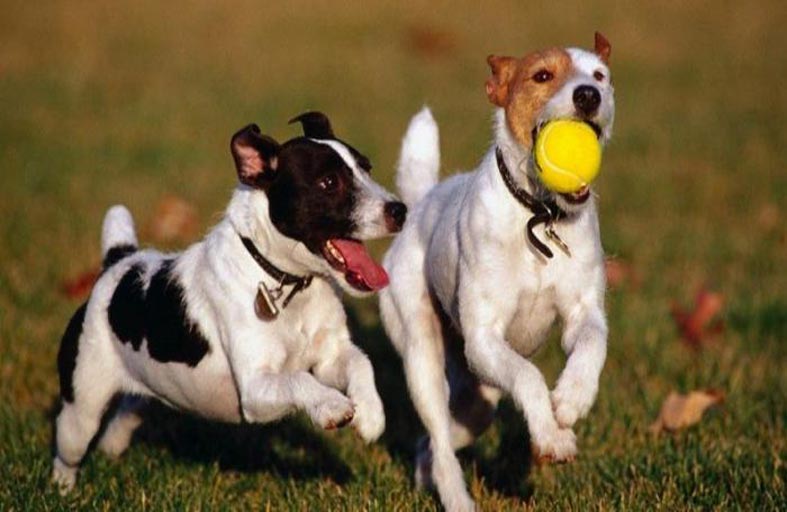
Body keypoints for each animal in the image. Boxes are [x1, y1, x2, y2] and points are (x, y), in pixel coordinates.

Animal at [52, 112, 407, 492]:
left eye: (366, 168)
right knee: (69, 448)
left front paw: (371, 414)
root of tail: (118, 262)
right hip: (82, 407)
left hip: (146, 387)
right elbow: (299, 380)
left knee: (127, 411)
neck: (287, 282)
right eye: (329, 182)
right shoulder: (256, 389)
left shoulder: (329, 358)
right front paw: (331, 406)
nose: (400, 210)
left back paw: (111, 448)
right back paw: (63, 488)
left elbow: (361, 363)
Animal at [379, 33, 614, 511]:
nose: (588, 95)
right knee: (439, 439)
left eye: (600, 75)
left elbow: (591, 344)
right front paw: (551, 436)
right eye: (541, 75)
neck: (539, 216)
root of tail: (422, 201)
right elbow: (528, 377)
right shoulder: (485, 338)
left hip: (477, 393)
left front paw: (572, 400)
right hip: (424, 356)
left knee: (439, 441)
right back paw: (456, 498)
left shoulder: (582, 312)